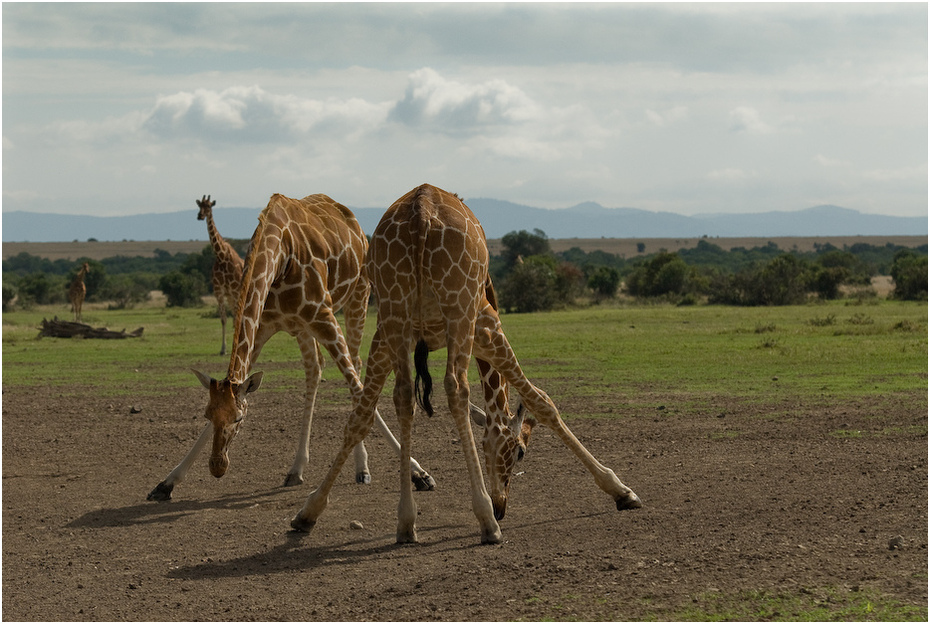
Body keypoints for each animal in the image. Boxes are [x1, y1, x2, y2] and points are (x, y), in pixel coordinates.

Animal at [196, 194, 243, 356]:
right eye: (199, 206)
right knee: (234, 315)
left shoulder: (235, 289)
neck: (222, 257)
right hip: (229, 295)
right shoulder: (219, 291)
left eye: (209, 206)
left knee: (239, 315)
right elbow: (223, 319)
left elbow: (235, 317)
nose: (199, 216)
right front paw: (223, 349)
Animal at [290, 183, 640, 544]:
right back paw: (485, 521)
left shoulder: (387, 336)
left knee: (401, 396)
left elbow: (362, 414)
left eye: (491, 448)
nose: (502, 505)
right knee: (456, 389)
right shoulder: (487, 323)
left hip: (394, 309)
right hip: (459, 310)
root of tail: (421, 214)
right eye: (519, 452)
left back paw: (406, 521)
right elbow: (541, 400)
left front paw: (310, 510)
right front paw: (621, 491)